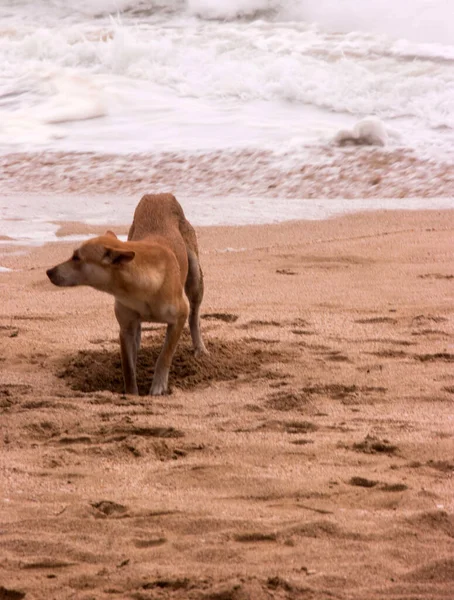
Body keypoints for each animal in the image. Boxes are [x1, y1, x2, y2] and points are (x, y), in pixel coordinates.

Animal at [47, 195, 207, 396]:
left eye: (77, 257)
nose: (49, 271)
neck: (138, 289)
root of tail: (159, 195)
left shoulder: (178, 317)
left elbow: (165, 355)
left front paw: (158, 387)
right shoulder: (126, 328)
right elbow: (128, 367)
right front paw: (132, 394)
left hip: (194, 275)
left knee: (194, 315)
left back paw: (199, 348)